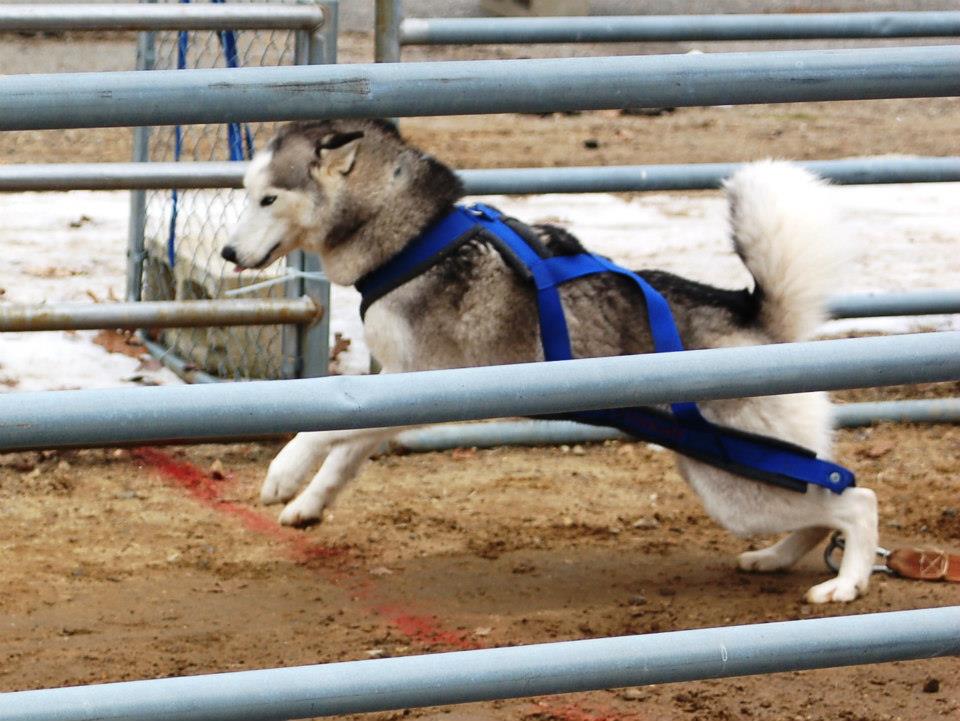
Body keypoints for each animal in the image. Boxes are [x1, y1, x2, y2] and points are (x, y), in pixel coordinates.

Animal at [223, 119, 876, 600]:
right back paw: (775, 559)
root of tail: (754, 315)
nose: (227, 252)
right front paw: (308, 503)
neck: (414, 239)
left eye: (268, 197)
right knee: (819, 515)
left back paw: (845, 584)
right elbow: (347, 453)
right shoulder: (396, 387)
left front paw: (283, 470)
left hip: (736, 484)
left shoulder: (420, 378)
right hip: (736, 476)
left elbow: (325, 430)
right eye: (247, 196)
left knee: (854, 503)